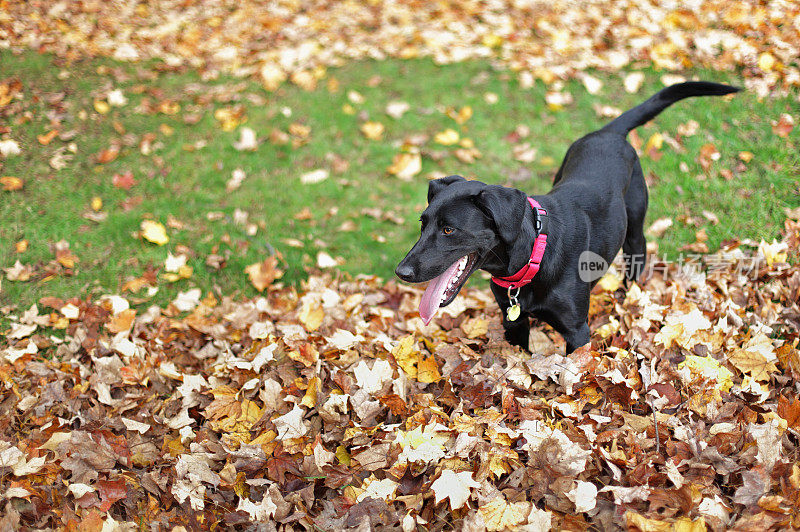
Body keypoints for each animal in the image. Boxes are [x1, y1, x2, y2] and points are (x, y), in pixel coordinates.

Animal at [394, 81, 736, 352]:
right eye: (423, 224)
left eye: (449, 230)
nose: (402, 272)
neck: (533, 257)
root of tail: (608, 132)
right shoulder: (512, 322)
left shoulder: (577, 332)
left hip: (635, 230)